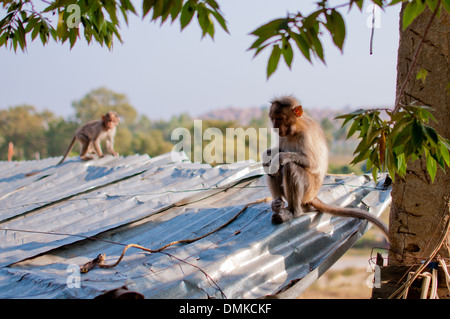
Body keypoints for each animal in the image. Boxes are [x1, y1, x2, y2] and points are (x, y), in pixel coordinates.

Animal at [264, 96, 390, 241]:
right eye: (272, 118)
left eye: (279, 118)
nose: (274, 127)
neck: (294, 129)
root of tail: (314, 196)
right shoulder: (282, 136)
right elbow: (274, 154)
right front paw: (267, 155)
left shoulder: (305, 135)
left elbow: (314, 163)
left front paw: (280, 157)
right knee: (273, 170)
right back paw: (277, 204)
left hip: (309, 190)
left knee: (291, 167)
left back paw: (293, 212)